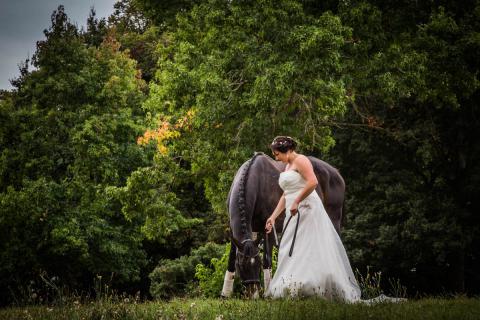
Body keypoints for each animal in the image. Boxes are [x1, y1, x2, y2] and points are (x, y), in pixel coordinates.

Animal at [221, 152, 344, 298]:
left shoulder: (267, 227)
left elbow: (267, 260)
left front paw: (268, 293)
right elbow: (231, 258)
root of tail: (336, 173)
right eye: (240, 265)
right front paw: (225, 294)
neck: (255, 180)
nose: (253, 295)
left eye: (258, 264)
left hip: (333, 221)